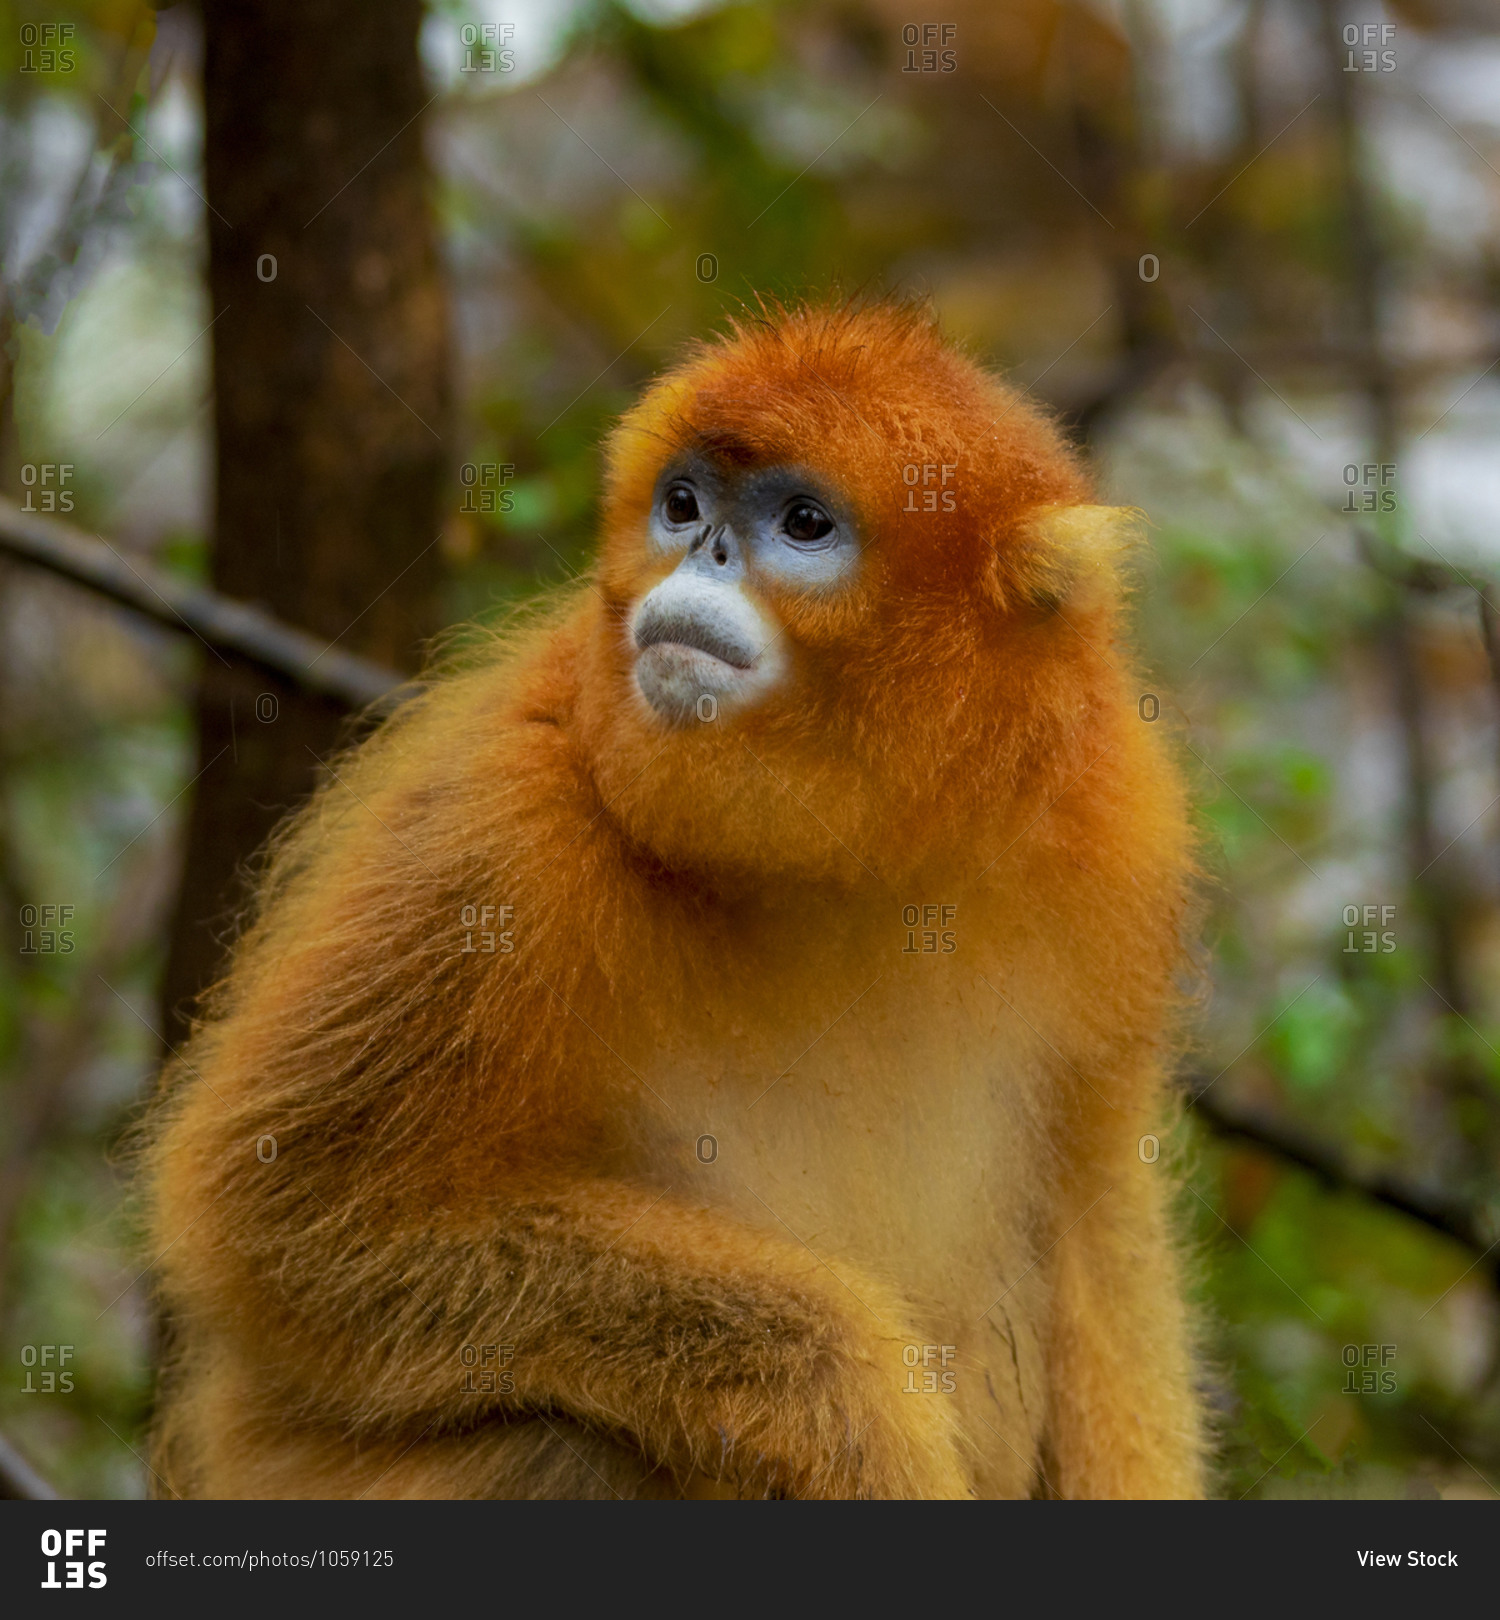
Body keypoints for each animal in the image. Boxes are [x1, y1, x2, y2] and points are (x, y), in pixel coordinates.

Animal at [141, 298, 1208, 1500]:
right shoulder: (504, 822)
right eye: (684, 503)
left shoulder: (1116, 822)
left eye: (802, 523)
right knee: (570, 1448)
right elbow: (282, 1219)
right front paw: (859, 1413)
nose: (706, 550)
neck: (852, 869)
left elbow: (1101, 1213)